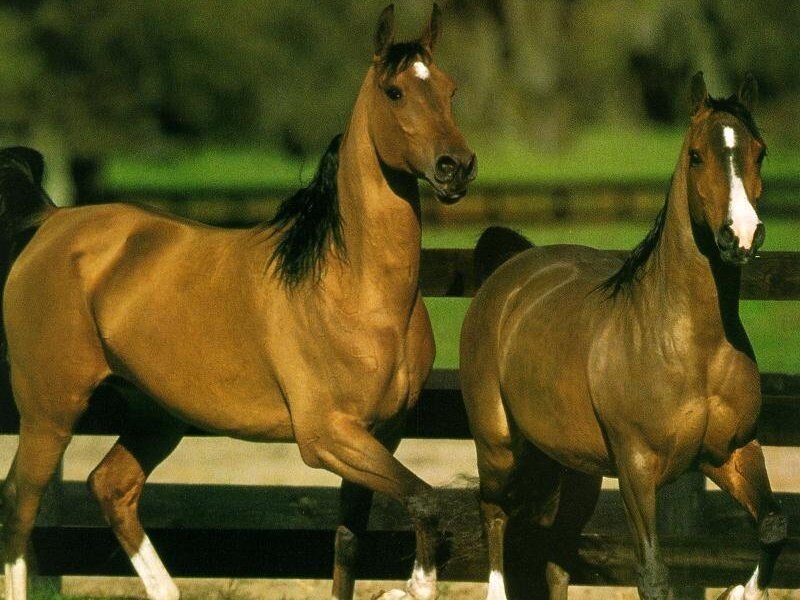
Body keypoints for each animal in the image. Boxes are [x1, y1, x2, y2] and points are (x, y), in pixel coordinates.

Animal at [0, 5, 476, 599]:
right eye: (395, 91)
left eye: (451, 88)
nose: (456, 167)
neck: (355, 292)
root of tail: (52, 221)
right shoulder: (326, 436)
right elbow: (427, 501)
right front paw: (408, 588)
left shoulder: (382, 434)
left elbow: (350, 546)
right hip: (49, 412)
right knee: (19, 508)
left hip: (155, 414)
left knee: (110, 485)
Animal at [460, 72, 786, 600]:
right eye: (697, 155)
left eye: (760, 151)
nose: (741, 234)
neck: (689, 345)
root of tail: (509, 272)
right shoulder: (637, 466)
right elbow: (653, 576)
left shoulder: (732, 450)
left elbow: (774, 526)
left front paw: (739, 590)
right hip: (497, 445)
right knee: (493, 513)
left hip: (575, 470)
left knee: (554, 558)